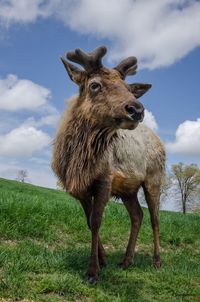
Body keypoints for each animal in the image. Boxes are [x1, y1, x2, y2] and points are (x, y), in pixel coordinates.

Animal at [52, 45, 166, 284]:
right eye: (94, 85)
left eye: (128, 88)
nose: (136, 110)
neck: (78, 162)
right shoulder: (79, 187)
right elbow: (89, 222)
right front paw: (103, 260)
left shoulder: (105, 178)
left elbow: (96, 221)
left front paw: (92, 271)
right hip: (128, 189)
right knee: (137, 215)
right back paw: (126, 260)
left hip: (154, 178)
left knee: (155, 218)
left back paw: (157, 261)